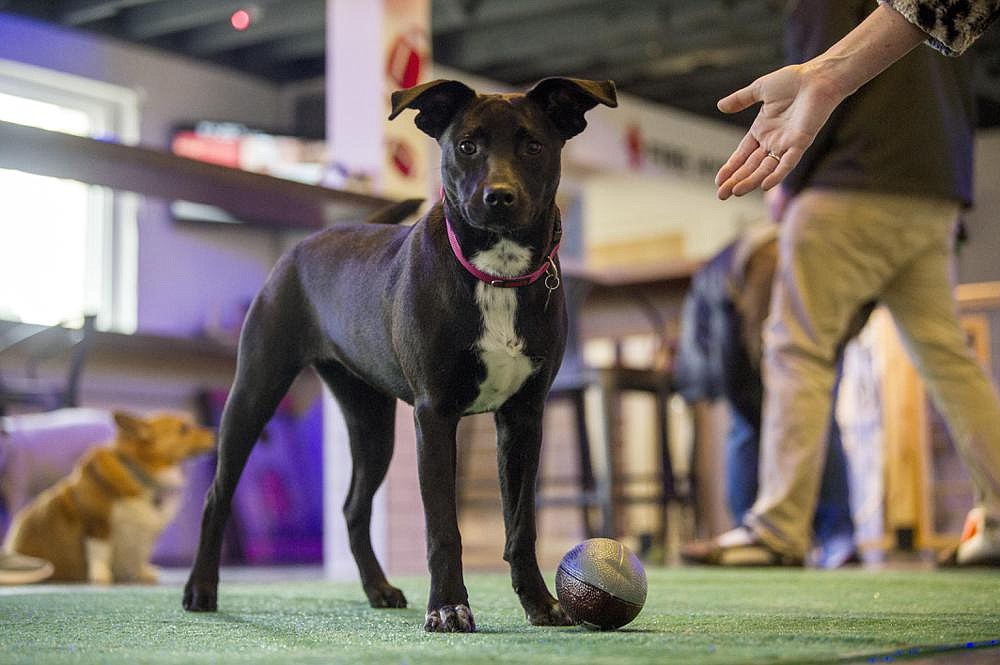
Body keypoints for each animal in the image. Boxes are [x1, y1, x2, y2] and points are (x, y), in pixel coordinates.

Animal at [182, 75, 616, 632]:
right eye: (466, 146)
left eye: (533, 146)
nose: (499, 197)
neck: (494, 273)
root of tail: (304, 244)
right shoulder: (434, 415)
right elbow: (443, 528)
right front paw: (448, 607)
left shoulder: (523, 417)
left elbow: (521, 525)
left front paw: (540, 603)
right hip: (254, 392)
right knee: (218, 495)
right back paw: (201, 589)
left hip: (372, 423)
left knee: (352, 507)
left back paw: (378, 588)